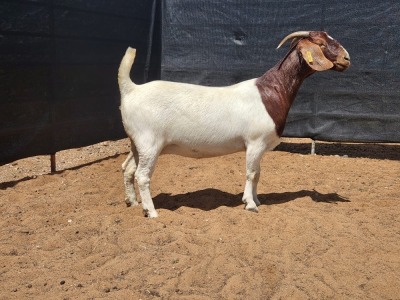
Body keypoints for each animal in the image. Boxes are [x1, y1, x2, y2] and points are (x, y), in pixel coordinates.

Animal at [118, 31, 350, 218]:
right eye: (320, 43)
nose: (346, 58)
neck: (271, 92)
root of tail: (131, 89)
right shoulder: (255, 142)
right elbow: (251, 173)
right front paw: (250, 204)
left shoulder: (259, 146)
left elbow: (258, 173)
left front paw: (257, 200)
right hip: (149, 142)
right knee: (142, 176)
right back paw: (151, 212)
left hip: (137, 143)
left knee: (127, 169)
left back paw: (132, 202)